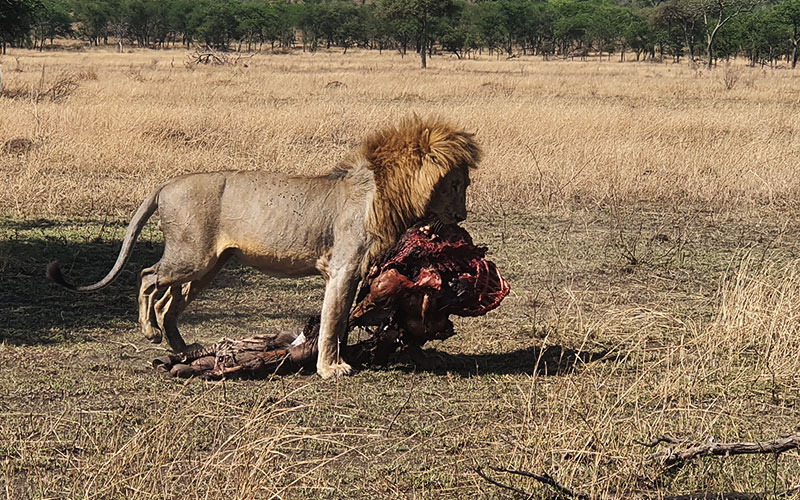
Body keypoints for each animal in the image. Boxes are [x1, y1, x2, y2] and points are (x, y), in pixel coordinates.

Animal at [47, 115, 482, 376]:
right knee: (147, 275)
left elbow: (341, 320)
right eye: (456, 185)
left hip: (209, 266)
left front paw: (337, 358)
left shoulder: (356, 273)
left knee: (169, 301)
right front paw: (331, 369)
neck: (386, 191)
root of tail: (166, 184)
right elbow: (333, 321)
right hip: (192, 257)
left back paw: (185, 349)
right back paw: (150, 332)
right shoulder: (342, 268)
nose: (462, 216)